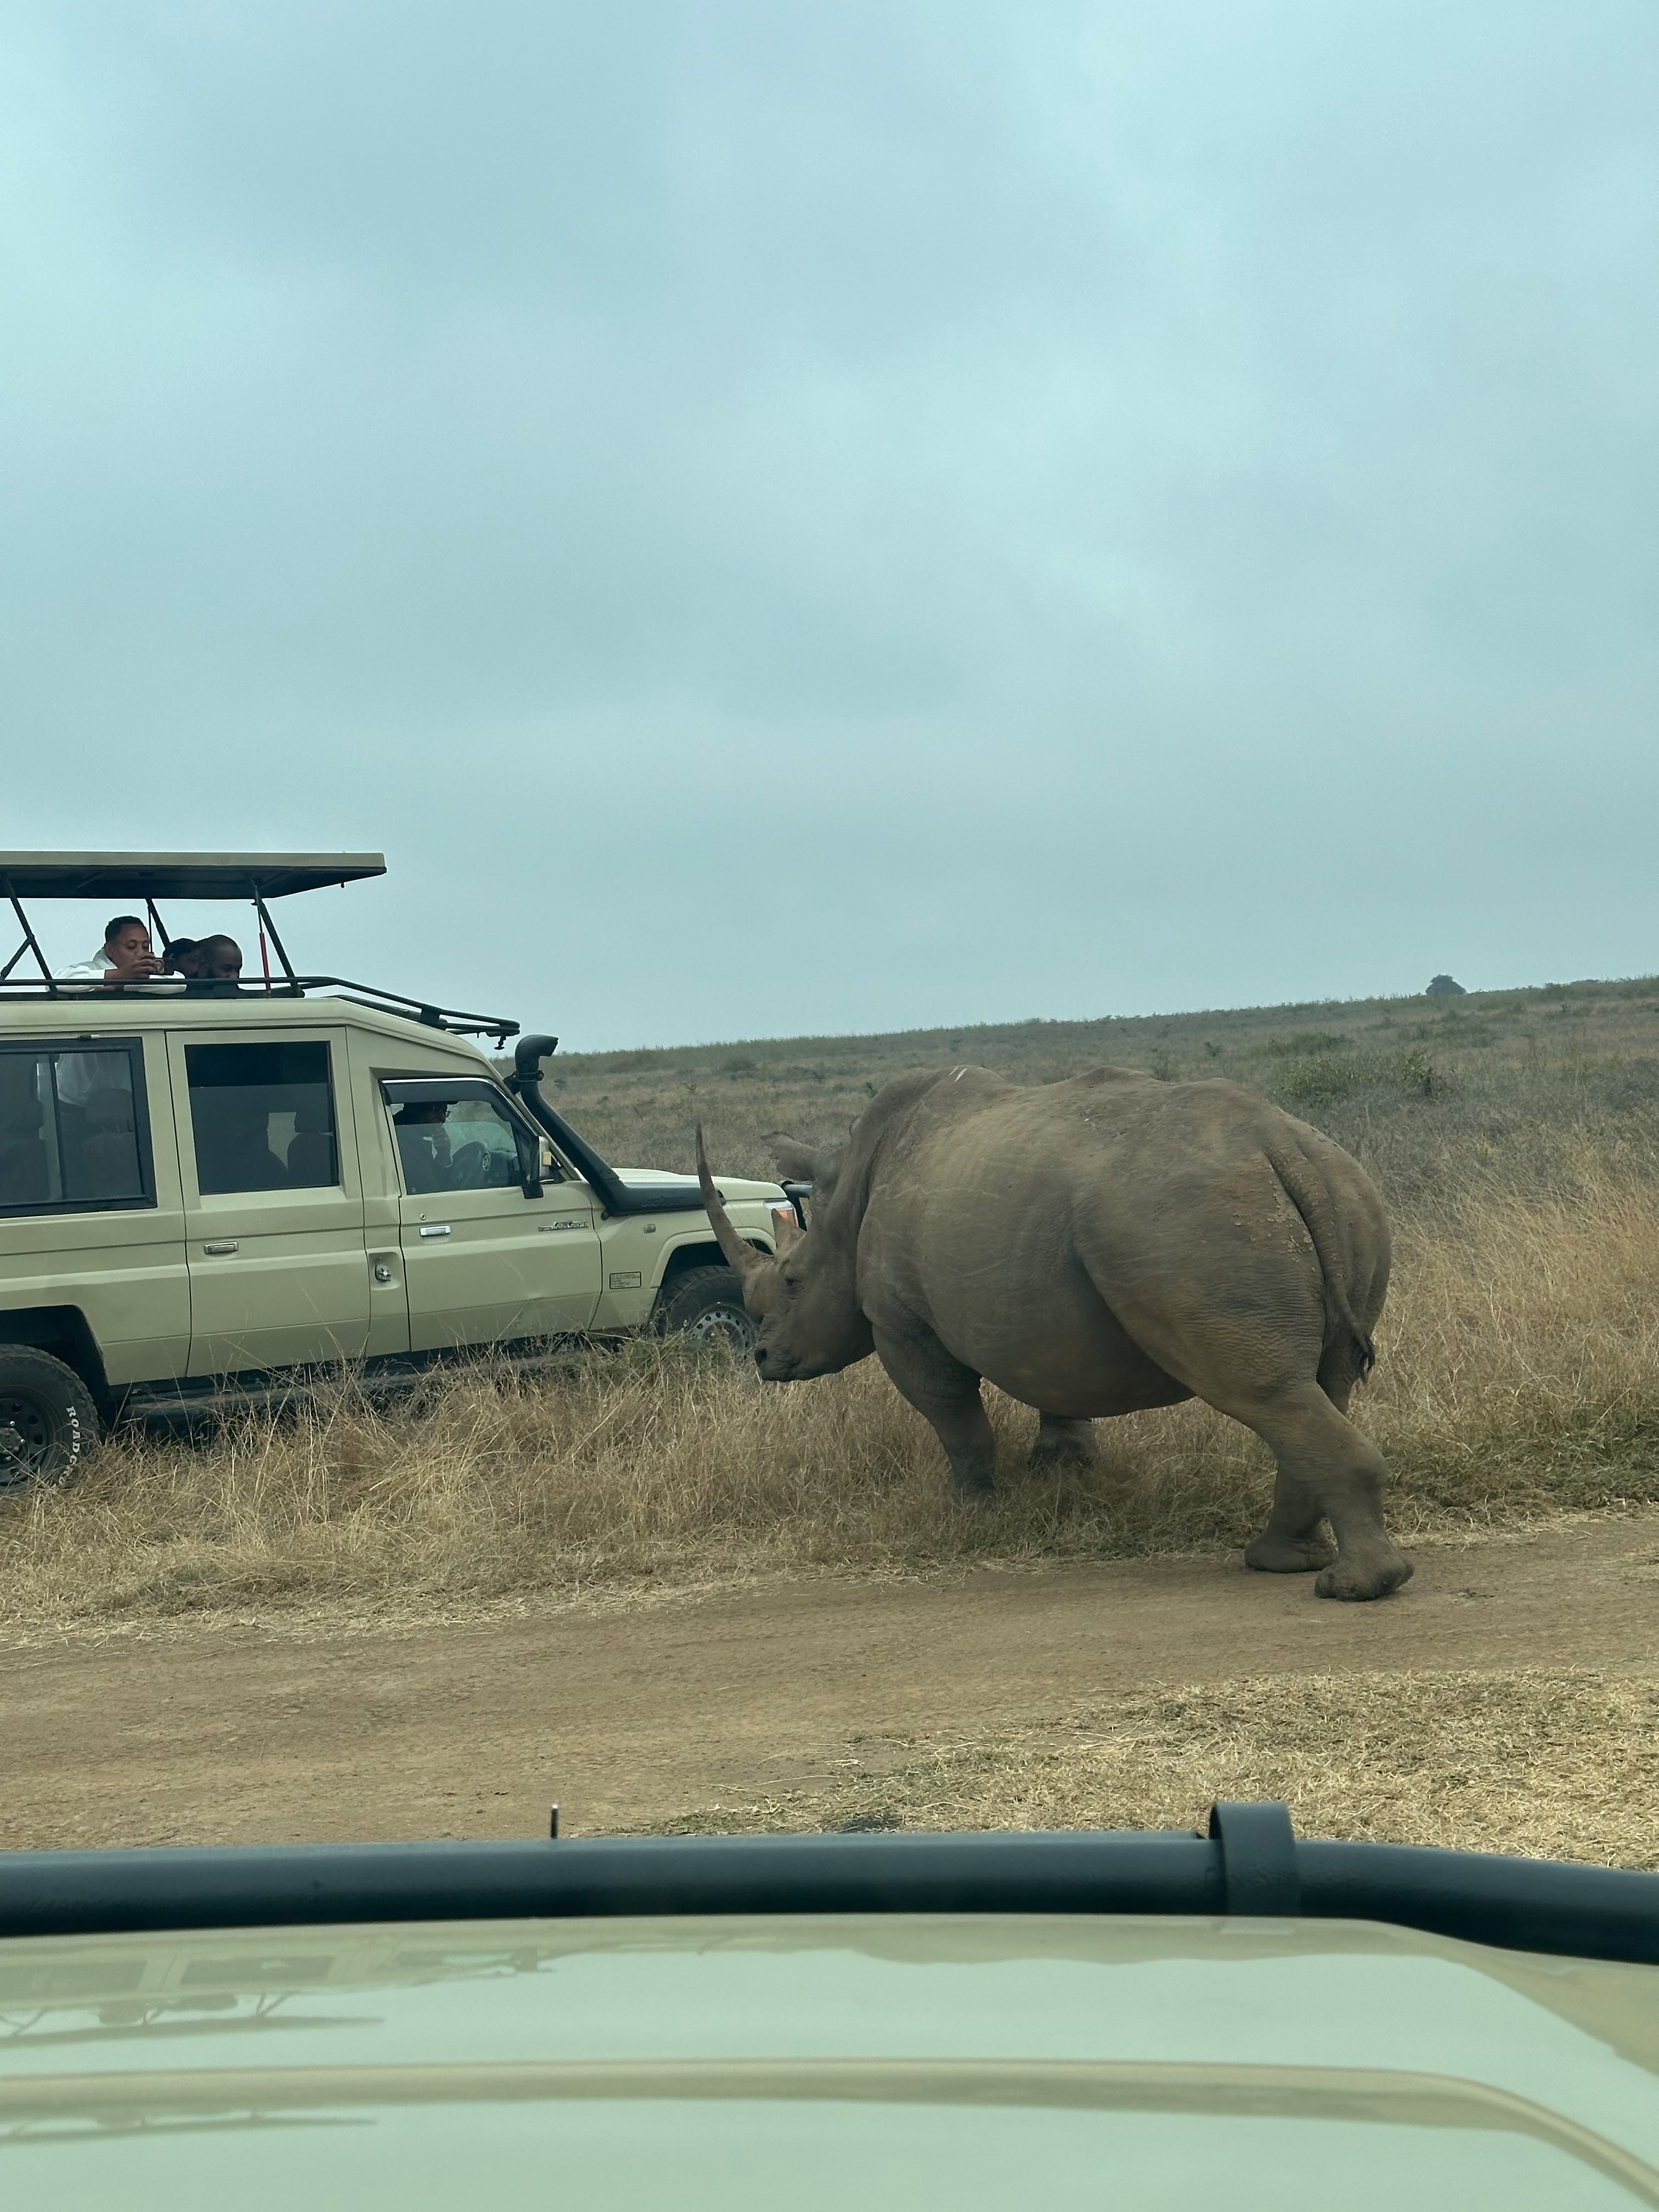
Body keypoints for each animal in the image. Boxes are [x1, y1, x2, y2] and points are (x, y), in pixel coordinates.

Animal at [696, 1064, 1410, 1601]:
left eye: (791, 1281)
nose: (764, 1358)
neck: (847, 1199)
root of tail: (1278, 1144)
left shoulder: (903, 1323)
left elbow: (953, 1417)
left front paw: (969, 1508)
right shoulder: (1042, 1310)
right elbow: (1058, 1387)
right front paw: (1062, 1471)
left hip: (1189, 1217)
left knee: (1265, 1394)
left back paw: (1351, 1587)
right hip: (1342, 1196)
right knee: (1317, 1386)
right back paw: (1284, 1561)